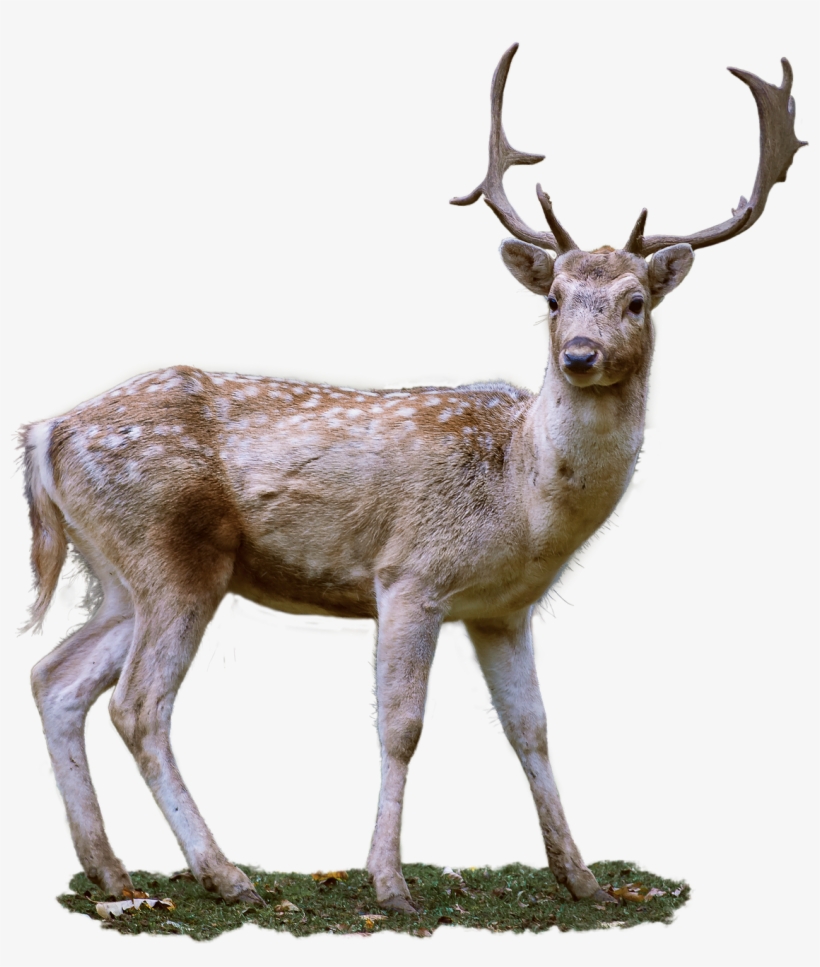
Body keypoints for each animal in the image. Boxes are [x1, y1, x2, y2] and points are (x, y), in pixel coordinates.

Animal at [22, 44, 804, 914]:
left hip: (118, 572)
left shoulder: (503, 607)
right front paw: (389, 881)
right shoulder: (408, 574)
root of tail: (45, 431)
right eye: (554, 297)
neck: (523, 498)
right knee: (137, 704)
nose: (579, 354)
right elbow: (401, 726)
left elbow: (531, 728)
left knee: (55, 678)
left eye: (636, 301)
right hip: (174, 553)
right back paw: (224, 874)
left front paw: (583, 879)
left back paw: (110, 870)